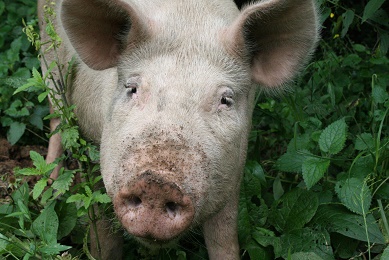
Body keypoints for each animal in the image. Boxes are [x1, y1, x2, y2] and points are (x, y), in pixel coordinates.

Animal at [38, 0, 320, 258]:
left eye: (225, 100)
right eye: (132, 88)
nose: (157, 182)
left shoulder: (233, 174)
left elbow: (224, 240)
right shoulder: (88, 140)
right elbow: (103, 238)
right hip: (48, 55)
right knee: (55, 113)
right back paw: (48, 188)